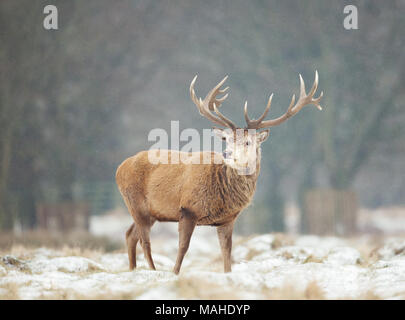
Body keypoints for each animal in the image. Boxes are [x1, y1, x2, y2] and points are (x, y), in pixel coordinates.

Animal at [116, 71, 322, 274]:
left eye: (248, 142)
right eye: (227, 140)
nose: (227, 153)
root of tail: (120, 168)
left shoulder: (227, 219)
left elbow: (227, 250)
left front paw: (227, 274)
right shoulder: (188, 209)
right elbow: (183, 247)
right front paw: (174, 273)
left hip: (150, 212)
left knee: (130, 234)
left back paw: (133, 269)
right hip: (136, 203)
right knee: (144, 240)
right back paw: (152, 270)